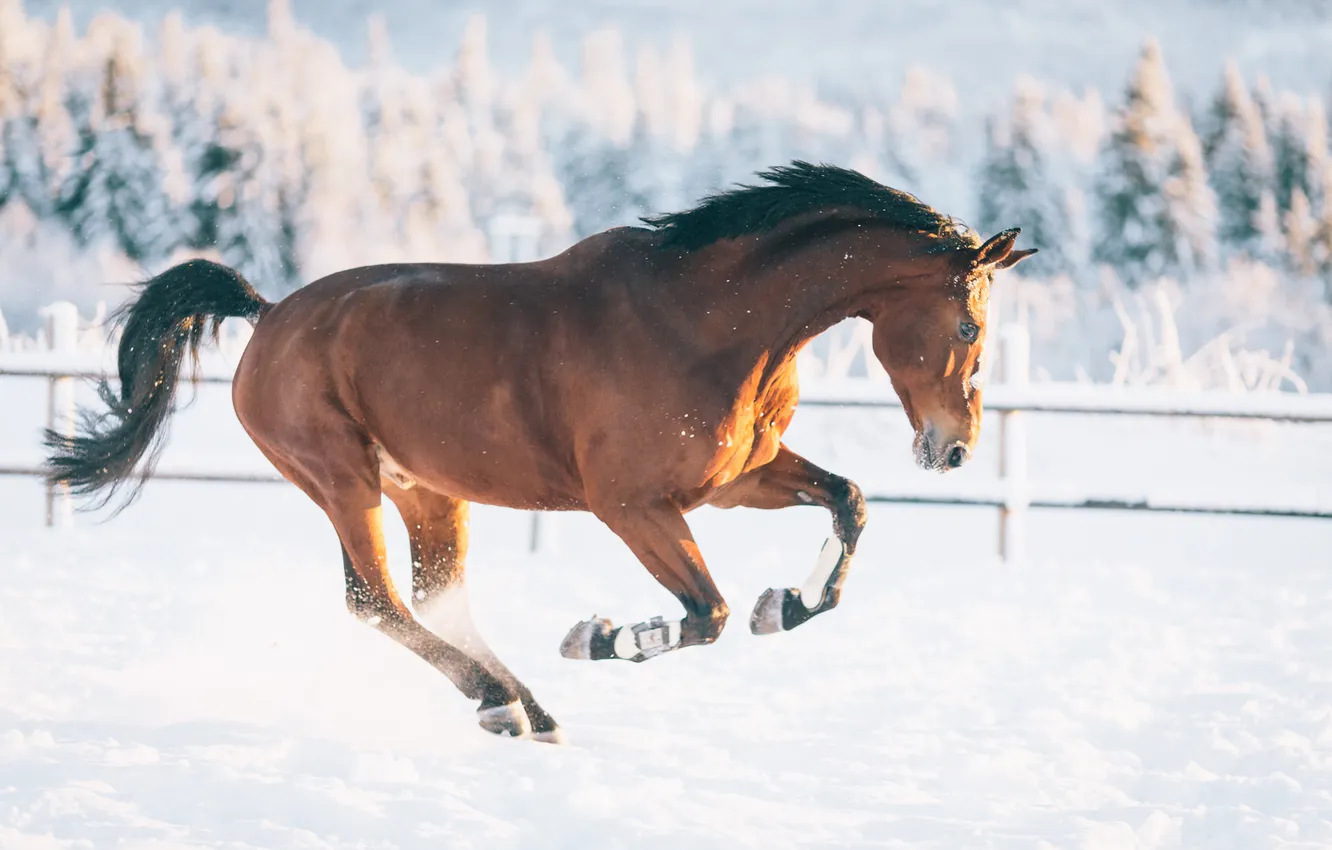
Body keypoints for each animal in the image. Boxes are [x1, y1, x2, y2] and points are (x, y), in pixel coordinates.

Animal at [44, 161, 1035, 743]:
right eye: (969, 325)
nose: (953, 450)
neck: (709, 322)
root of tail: (270, 314)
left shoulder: (736, 479)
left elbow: (848, 503)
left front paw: (784, 605)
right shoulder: (632, 505)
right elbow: (704, 613)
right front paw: (598, 637)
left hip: (427, 492)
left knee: (435, 599)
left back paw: (525, 705)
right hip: (342, 481)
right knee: (377, 601)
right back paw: (501, 702)